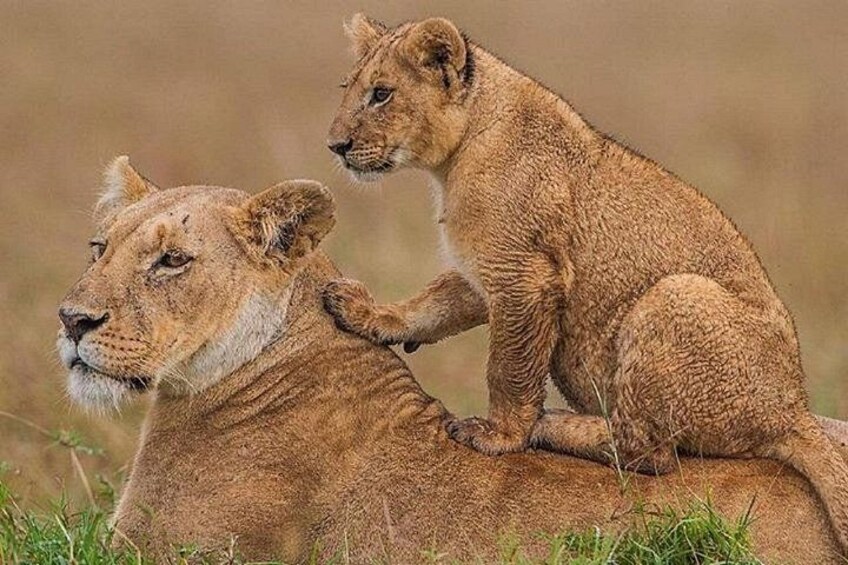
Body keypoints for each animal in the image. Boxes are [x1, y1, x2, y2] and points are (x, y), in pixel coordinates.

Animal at [323, 14, 848, 552]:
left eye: (382, 94)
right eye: (351, 89)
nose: (336, 147)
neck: (457, 155)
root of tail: (793, 409)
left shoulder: (525, 275)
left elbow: (508, 368)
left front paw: (499, 435)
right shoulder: (484, 271)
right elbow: (433, 305)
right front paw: (367, 315)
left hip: (675, 295)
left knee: (649, 452)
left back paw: (551, 424)